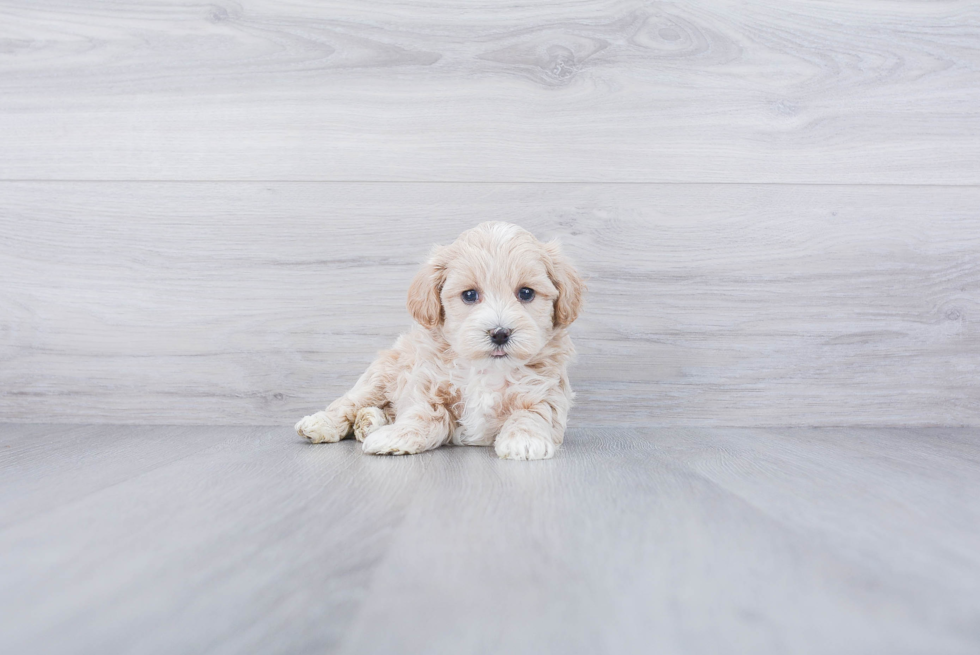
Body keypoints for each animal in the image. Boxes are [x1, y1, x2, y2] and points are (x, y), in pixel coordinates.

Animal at [290, 224, 580, 462]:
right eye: (469, 295)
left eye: (526, 293)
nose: (499, 333)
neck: (486, 370)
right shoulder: (426, 387)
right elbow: (423, 415)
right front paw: (396, 436)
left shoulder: (546, 392)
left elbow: (532, 414)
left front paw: (524, 440)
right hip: (380, 376)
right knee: (347, 403)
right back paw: (324, 424)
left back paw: (370, 421)